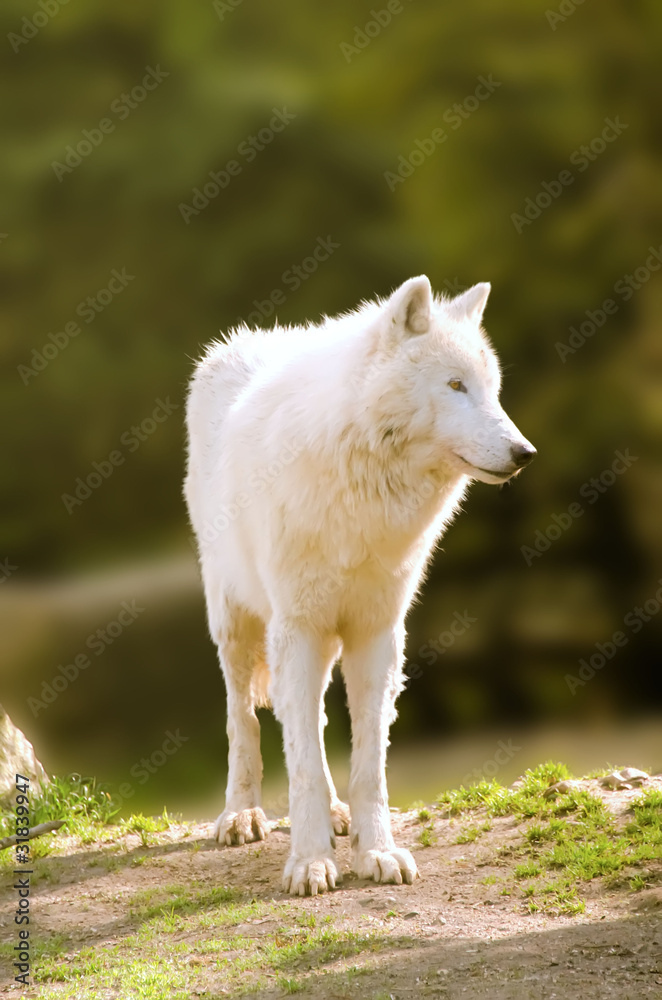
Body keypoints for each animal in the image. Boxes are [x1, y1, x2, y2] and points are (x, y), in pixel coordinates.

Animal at [184, 275, 535, 896]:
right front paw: (309, 862)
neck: (365, 495)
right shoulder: (296, 627)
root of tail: (233, 345)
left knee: (314, 723)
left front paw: (377, 852)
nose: (525, 454)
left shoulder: (377, 632)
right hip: (238, 623)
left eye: (492, 391)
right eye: (455, 386)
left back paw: (335, 816)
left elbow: (369, 764)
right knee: (243, 718)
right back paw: (242, 814)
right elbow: (299, 762)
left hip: (324, 640)